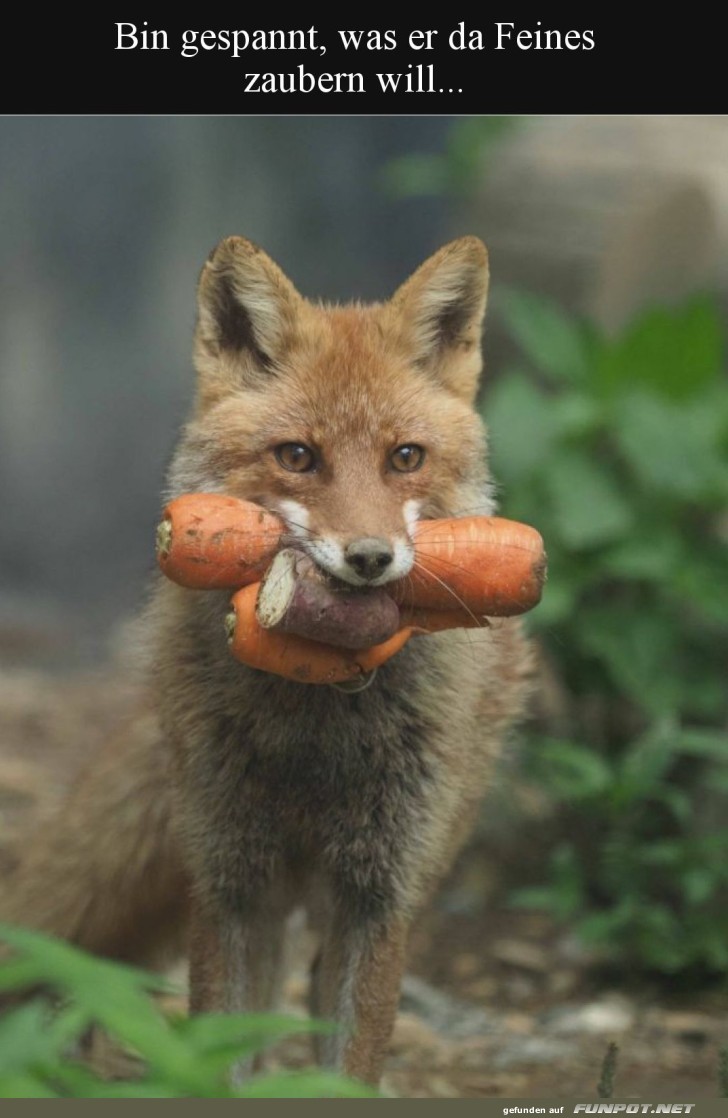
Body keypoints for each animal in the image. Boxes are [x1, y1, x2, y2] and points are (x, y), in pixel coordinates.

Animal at [1, 236, 533, 1086]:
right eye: (298, 456)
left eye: (405, 457)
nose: (370, 559)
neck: (317, 716)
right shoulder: (232, 881)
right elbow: (218, 1052)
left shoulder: (379, 894)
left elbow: (349, 1064)